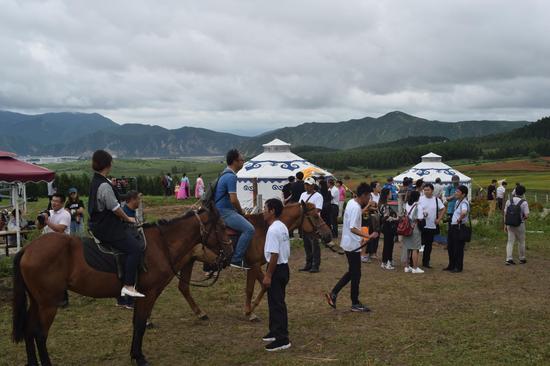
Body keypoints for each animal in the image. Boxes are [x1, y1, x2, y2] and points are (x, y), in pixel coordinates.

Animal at [12, 206, 233, 366]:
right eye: (222, 227)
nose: (229, 255)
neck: (162, 245)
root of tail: (28, 249)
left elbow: (137, 323)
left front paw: (135, 354)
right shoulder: (149, 294)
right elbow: (140, 324)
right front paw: (140, 357)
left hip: (37, 301)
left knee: (29, 329)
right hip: (48, 304)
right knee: (40, 334)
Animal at [178, 202, 332, 322]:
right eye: (316, 216)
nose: (328, 234)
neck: (264, 228)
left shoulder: (256, 266)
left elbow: (264, 285)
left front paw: (251, 308)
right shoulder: (254, 265)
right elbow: (251, 289)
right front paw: (249, 312)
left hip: (187, 262)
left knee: (183, 287)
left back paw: (200, 313)